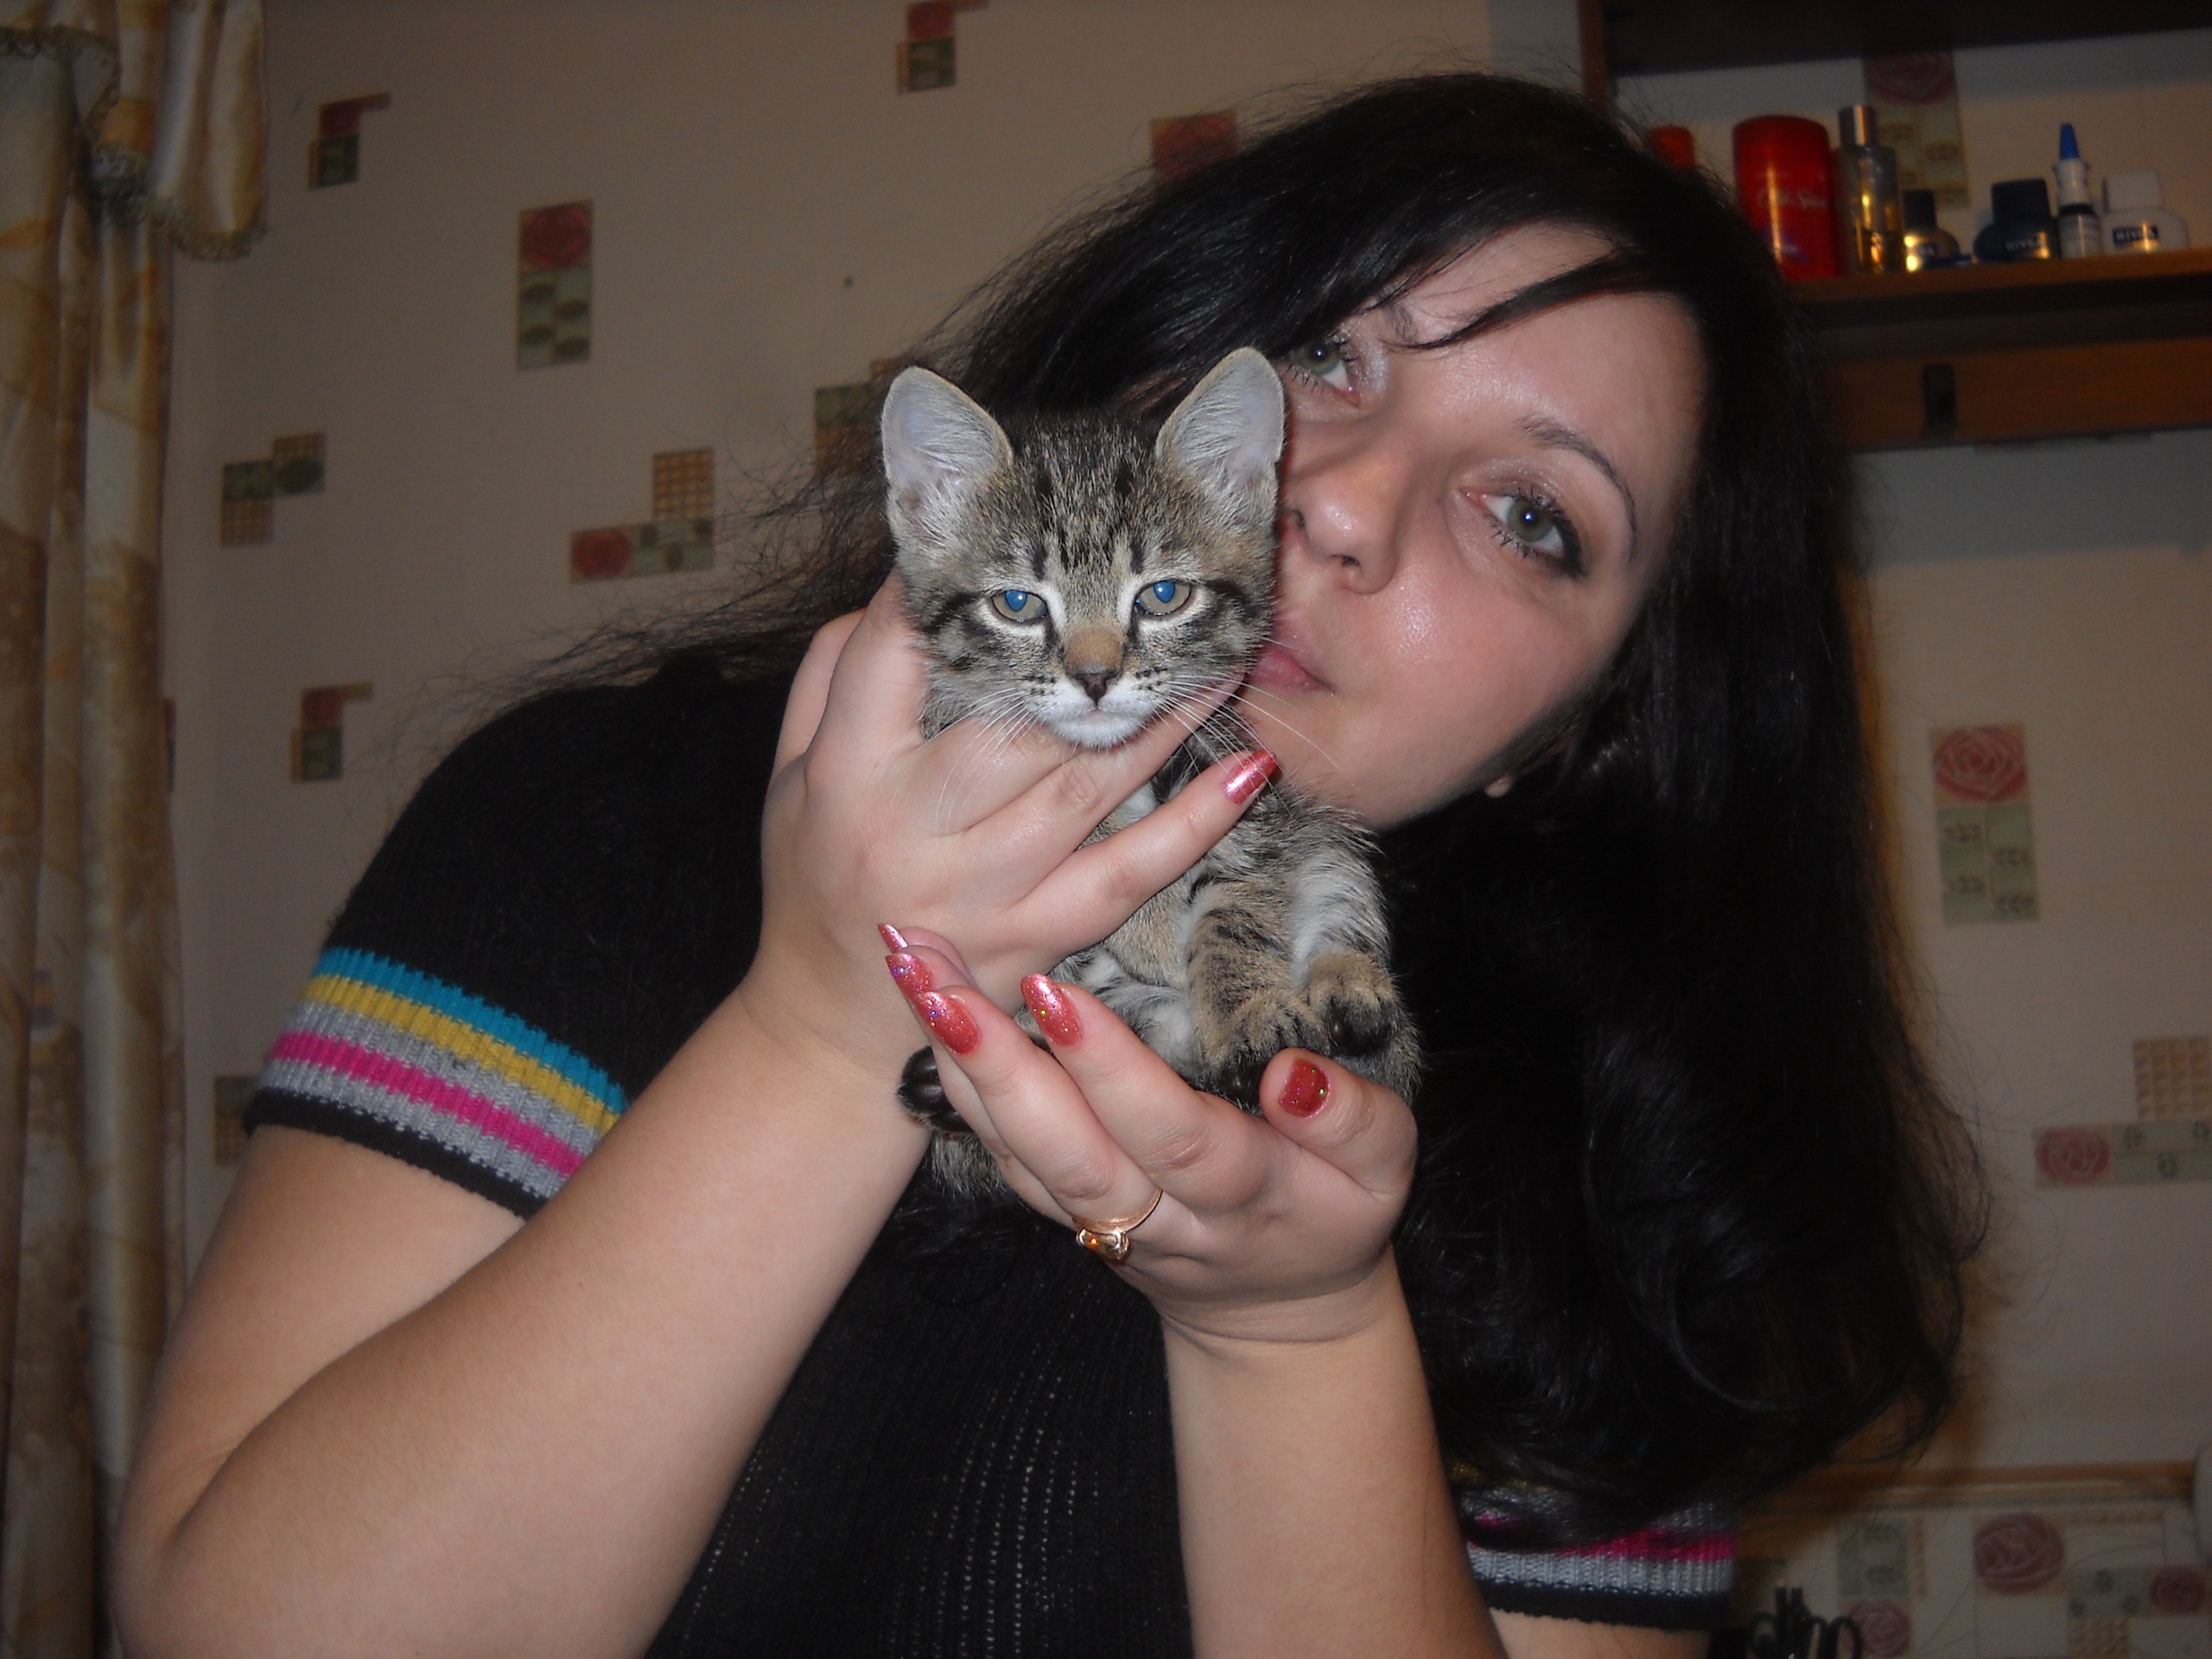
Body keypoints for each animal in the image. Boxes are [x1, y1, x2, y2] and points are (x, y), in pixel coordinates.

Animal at [879, 347, 1420, 1200]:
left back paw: (1350, 992)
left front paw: (1243, 1006)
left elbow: (1242, 897)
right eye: (1017, 605)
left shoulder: (1238, 774)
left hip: (1324, 834)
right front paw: (1154, 922)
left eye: (1163, 595)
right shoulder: (956, 731)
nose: (1096, 678)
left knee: (1340, 893)